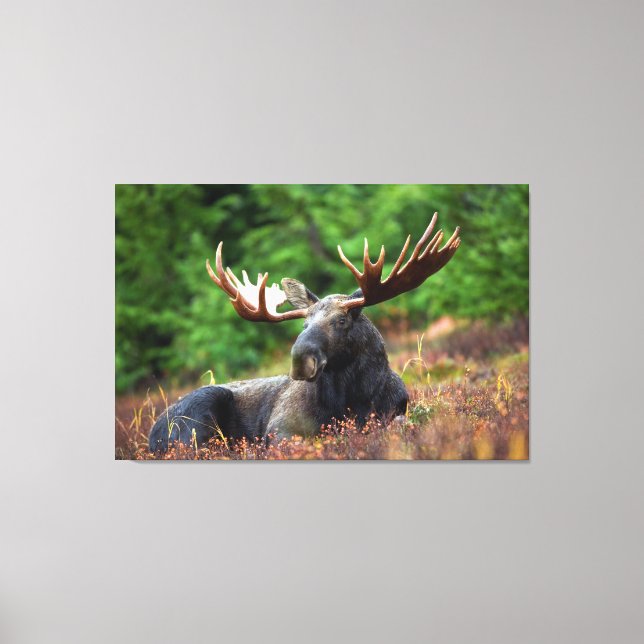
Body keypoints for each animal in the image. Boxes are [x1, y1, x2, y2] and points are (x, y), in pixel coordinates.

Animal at [148, 213, 461, 452]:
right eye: (304, 324)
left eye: (341, 320)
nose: (300, 360)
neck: (354, 399)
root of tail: (152, 435)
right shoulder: (280, 428)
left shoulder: (396, 411)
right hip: (198, 414)